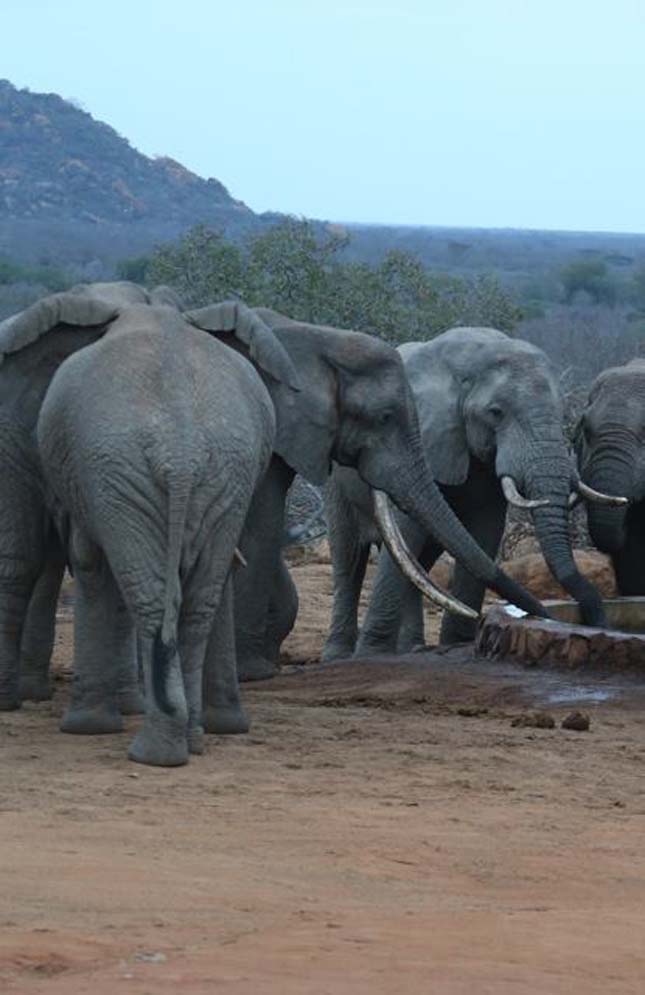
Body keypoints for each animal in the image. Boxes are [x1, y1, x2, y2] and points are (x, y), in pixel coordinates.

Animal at [35, 300, 296, 768]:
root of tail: (181, 448)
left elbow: (88, 560)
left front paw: (85, 729)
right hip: (224, 472)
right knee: (196, 604)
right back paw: (190, 740)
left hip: (120, 470)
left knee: (153, 598)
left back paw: (154, 754)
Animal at [184, 312, 552, 692]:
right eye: (496, 412)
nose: (548, 615)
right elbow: (407, 533)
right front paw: (373, 654)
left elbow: (483, 533)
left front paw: (455, 644)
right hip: (337, 491)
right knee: (351, 558)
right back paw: (343, 655)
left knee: (420, 562)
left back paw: (411, 648)